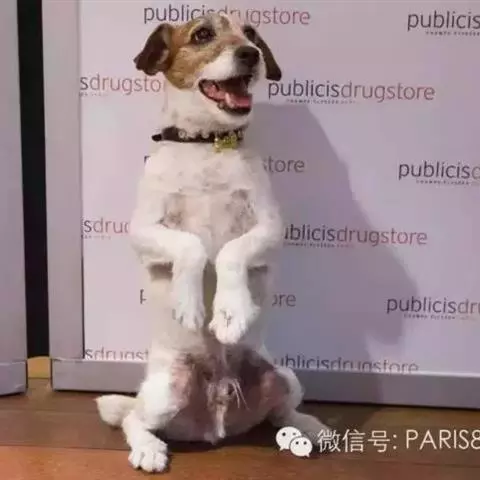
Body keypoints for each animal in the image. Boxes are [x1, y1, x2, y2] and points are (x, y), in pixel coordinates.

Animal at [96, 13, 331, 473]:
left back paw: (308, 428)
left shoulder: (271, 228)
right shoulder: (143, 231)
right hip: (165, 392)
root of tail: (217, 420)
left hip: (284, 377)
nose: (251, 55)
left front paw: (230, 310)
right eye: (202, 34)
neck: (208, 144)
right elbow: (193, 245)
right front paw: (190, 303)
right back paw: (148, 448)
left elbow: (229, 251)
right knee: (133, 419)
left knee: (282, 413)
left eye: (252, 35)